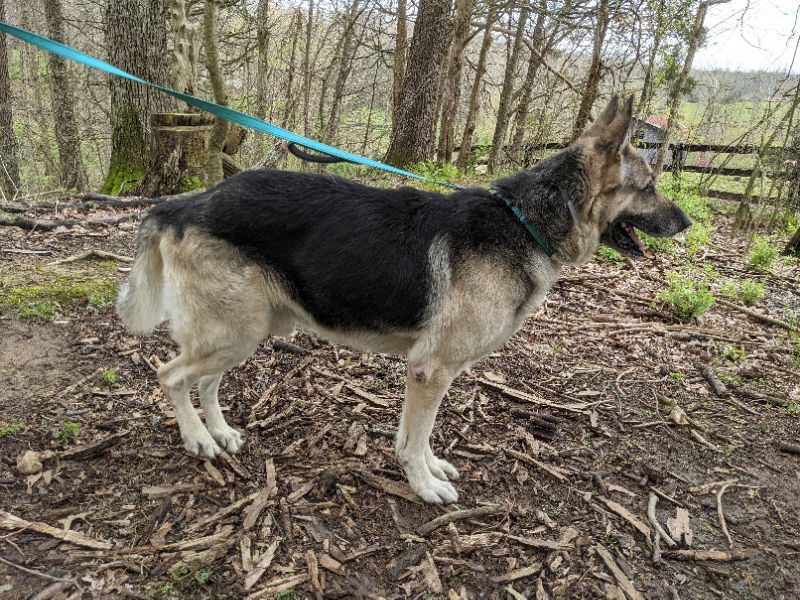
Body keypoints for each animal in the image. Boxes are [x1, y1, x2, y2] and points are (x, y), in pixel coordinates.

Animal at [115, 96, 692, 504]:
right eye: (649, 186)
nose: (686, 223)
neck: (525, 223)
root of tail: (184, 203)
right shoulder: (430, 370)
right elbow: (416, 437)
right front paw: (423, 484)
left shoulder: (429, 372)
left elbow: (417, 434)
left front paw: (426, 468)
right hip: (235, 331)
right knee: (171, 374)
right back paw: (197, 439)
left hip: (247, 331)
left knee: (205, 381)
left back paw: (220, 432)